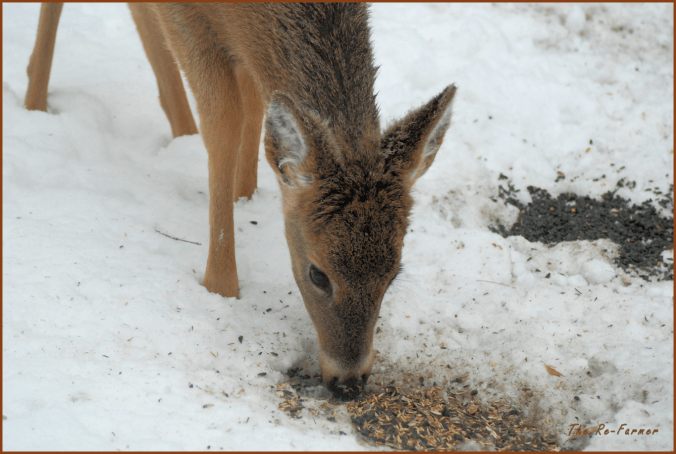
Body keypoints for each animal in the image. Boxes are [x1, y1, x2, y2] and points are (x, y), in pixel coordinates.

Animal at [25, 3, 456, 399]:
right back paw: (34, 104)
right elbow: (224, 118)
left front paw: (245, 196)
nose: (349, 382)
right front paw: (221, 289)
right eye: (317, 274)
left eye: (394, 274)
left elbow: (256, 105)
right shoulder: (185, 14)